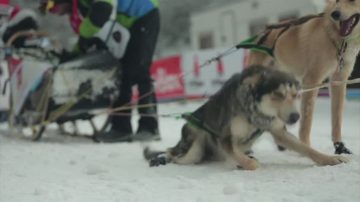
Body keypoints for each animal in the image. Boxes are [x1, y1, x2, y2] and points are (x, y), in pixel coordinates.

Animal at [248, 0, 360, 153]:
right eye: (336, 1)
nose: (335, 14)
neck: (335, 39)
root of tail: (264, 31)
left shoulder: (338, 81)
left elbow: (337, 118)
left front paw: (339, 146)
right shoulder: (312, 80)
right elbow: (306, 120)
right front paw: (306, 146)